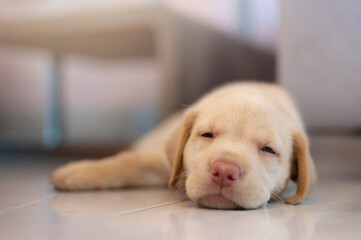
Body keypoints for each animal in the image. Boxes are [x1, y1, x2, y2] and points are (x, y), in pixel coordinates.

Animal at [50, 81, 316, 209]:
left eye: (268, 150)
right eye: (206, 135)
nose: (224, 171)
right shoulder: (166, 164)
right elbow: (129, 162)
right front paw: (79, 172)